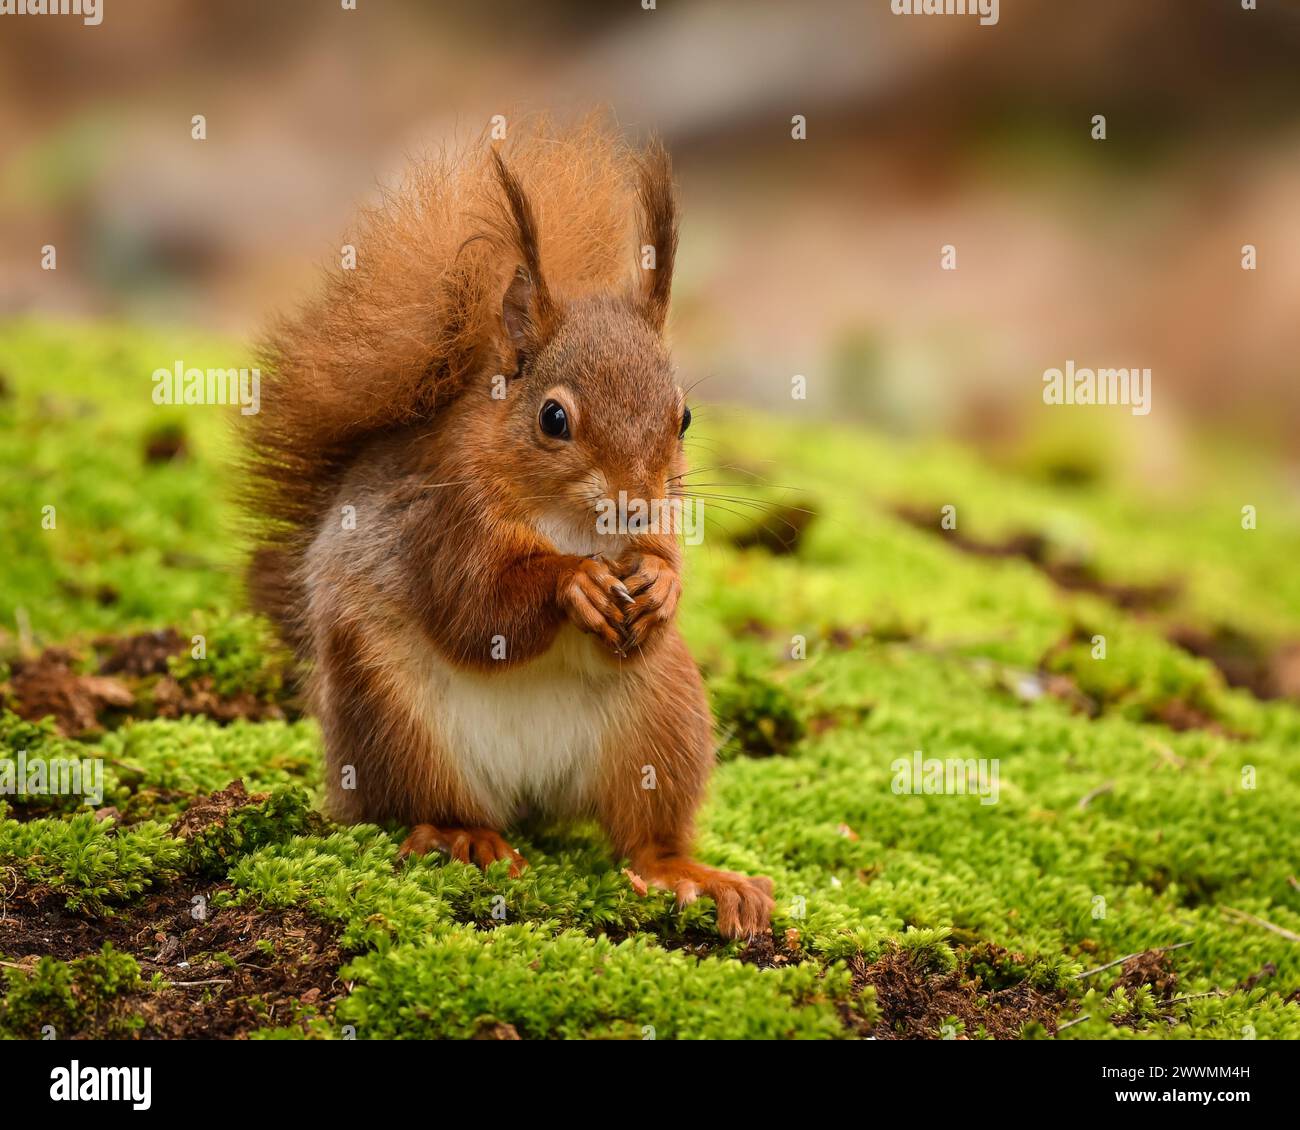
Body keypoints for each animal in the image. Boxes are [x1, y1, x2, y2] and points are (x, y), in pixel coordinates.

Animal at [244, 118, 769, 941]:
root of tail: (529, 795)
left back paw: (693, 876)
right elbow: (474, 609)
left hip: (664, 717)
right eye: (553, 418)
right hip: (389, 711)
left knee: (645, 838)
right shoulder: (445, 519)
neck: (572, 522)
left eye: (684, 417)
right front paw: (573, 582)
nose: (636, 504)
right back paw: (463, 837)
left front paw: (660, 583)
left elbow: (659, 563)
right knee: (421, 804)